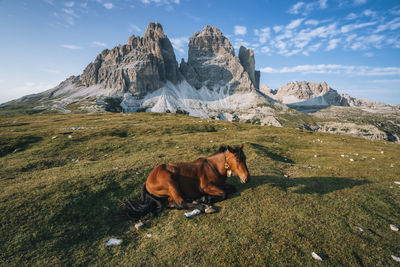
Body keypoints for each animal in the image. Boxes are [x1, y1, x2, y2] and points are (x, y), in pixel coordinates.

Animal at [121, 144, 250, 220]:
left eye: (245, 158)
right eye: (237, 159)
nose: (246, 178)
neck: (213, 167)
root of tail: (147, 181)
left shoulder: (222, 184)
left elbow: (232, 188)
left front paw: (206, 198)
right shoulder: (207, 187)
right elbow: (224, 194)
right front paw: (206, 199)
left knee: (172, 203)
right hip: (171, 182)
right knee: (180, 203)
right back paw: (204, 206)